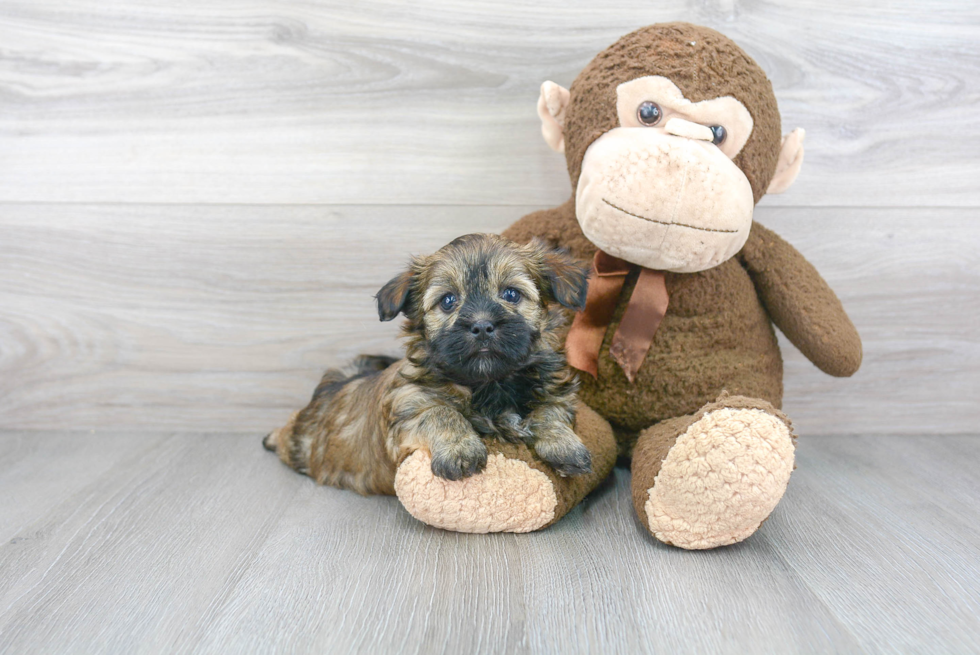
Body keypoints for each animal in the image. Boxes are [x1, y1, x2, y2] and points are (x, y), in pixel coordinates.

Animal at [260, 233, 592, 494]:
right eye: (448, 301)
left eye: (511, 294)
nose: (482, 325)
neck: (489, 383)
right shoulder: (408, 403)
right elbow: (441, 412)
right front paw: (460, 449)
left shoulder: (556, 390)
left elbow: (551, 411)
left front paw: (564, 445)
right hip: (302, 439)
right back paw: (272, 437)